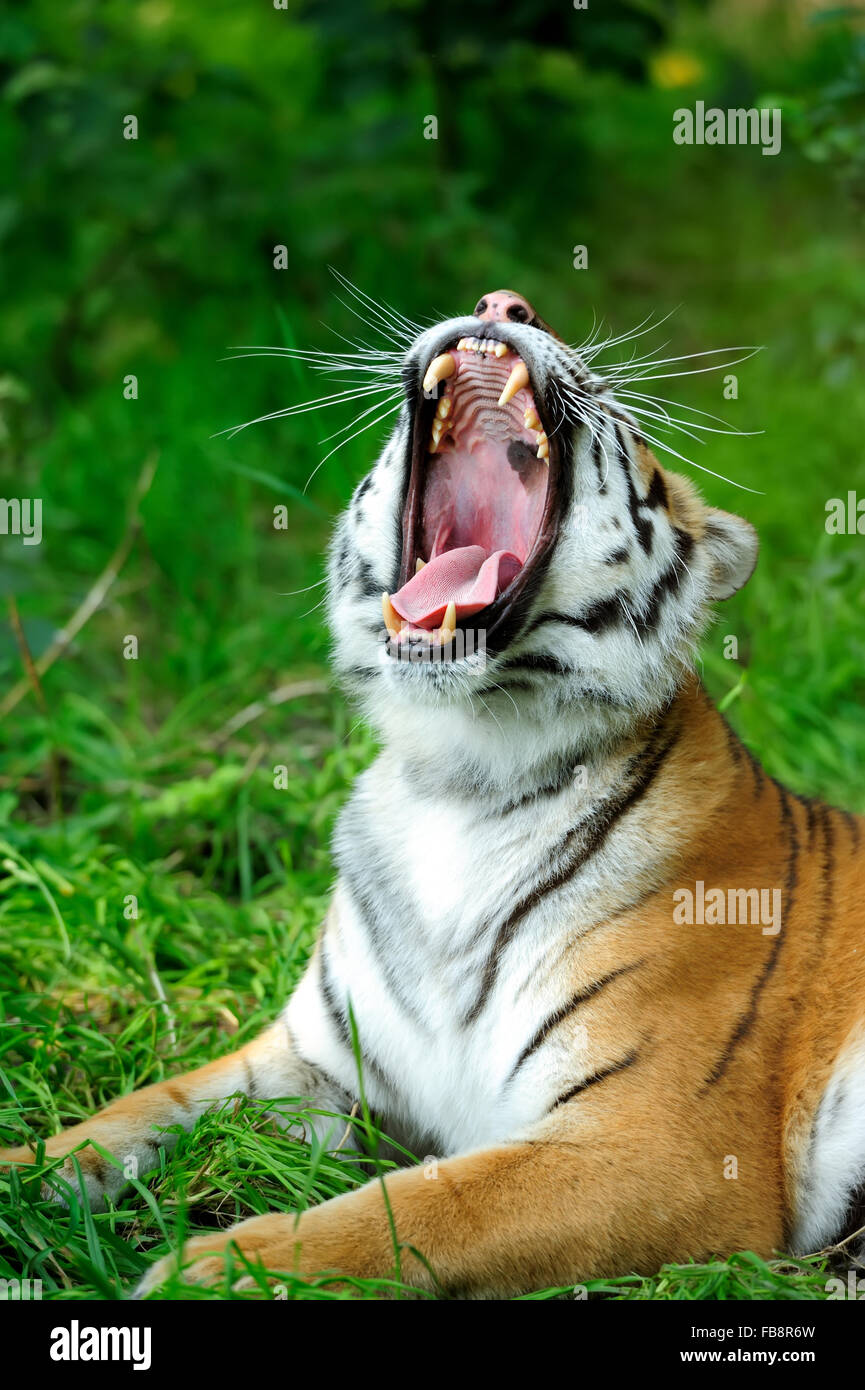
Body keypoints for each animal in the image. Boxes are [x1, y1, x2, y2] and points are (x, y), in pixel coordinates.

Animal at [1, 287, 865, 1295]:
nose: (505, 302)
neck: (456, 771)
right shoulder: (315, 1062)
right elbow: (134, 1114)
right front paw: (22, 1177)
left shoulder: (654, 1140)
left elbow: (416, 1209)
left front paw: (216, 1269)